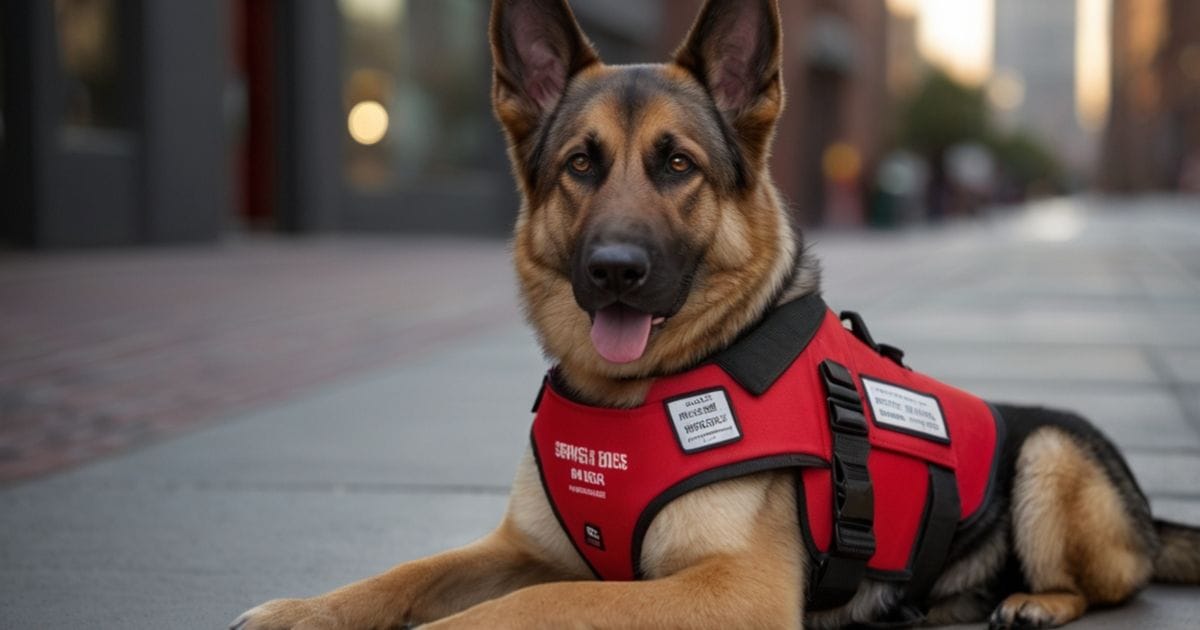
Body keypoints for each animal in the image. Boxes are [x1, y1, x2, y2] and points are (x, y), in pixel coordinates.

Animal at [234, 2, 1200, 624]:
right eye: (581, 165)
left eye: (677, 166)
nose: (614, 272)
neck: (633, 393)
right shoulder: (521, 547)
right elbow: (405, 573)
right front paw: (305, 610)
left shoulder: (726, 589)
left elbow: (542, 602)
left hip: (1048, 453)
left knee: (1111, 580)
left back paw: (1033, 599)